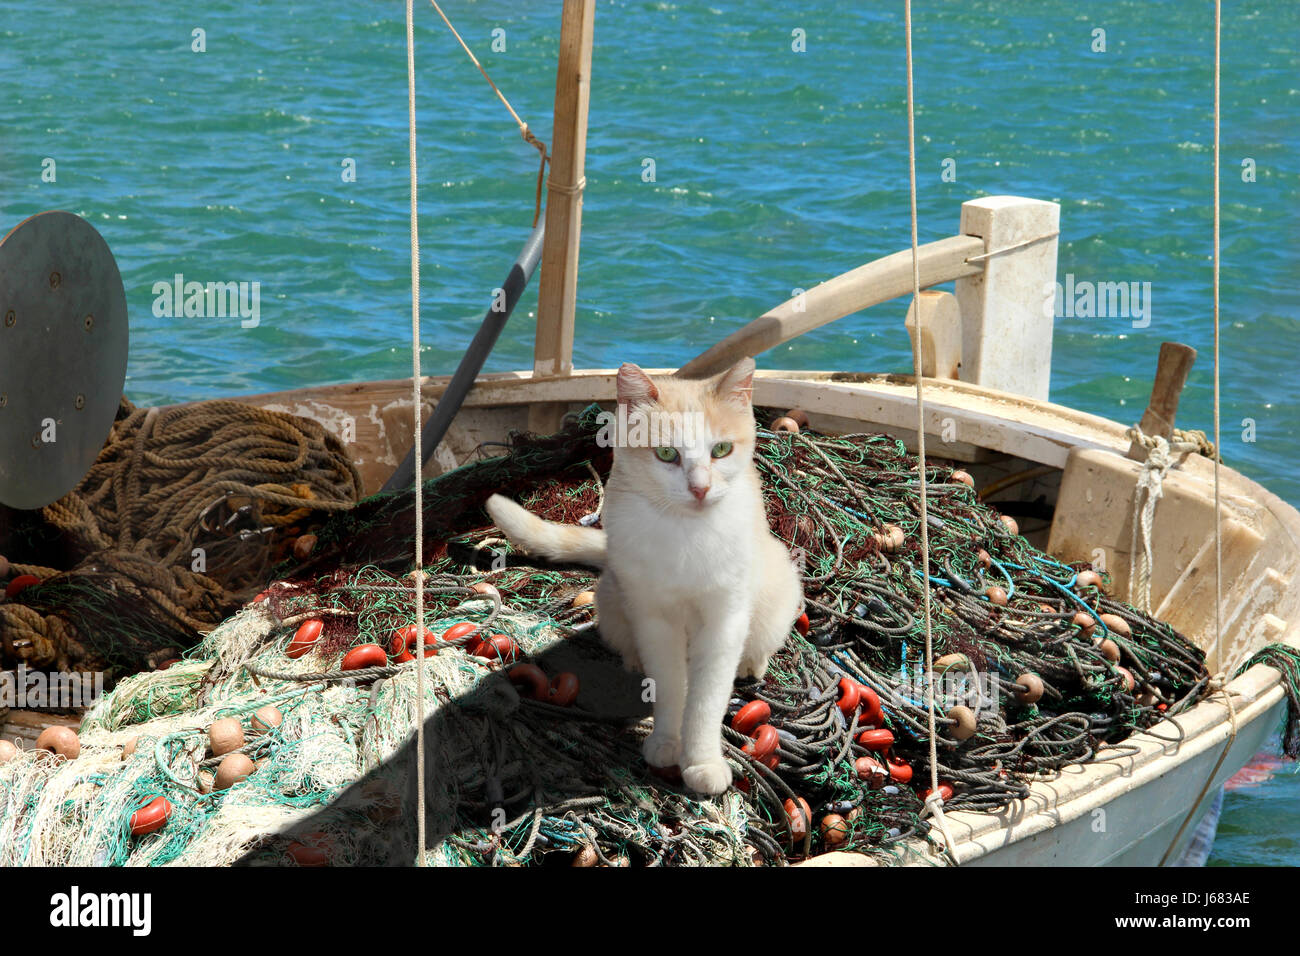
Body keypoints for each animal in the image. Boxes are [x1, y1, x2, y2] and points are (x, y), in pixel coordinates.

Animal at [488, 356, 800, 790]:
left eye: (721, 450)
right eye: (667, 454)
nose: (700, 489)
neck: (686, 532)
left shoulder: (725, 619)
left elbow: (707, 697)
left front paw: (702, 760)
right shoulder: (653, 617)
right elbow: (669, 685)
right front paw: (667, 741)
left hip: (778, 590)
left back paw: (751, 664)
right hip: (613, 596)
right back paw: (634, 659)